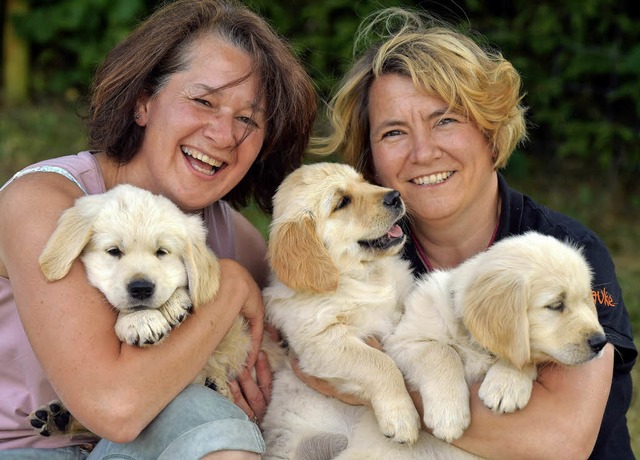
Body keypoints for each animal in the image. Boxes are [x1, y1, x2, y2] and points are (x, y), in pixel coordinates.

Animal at [30, 183, 251, 434]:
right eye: (114, 251)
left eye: (162, 252)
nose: (141, 288)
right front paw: (140, 320)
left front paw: (172, 303)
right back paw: (56, 418)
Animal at [260, 163, 420, 460]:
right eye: (342, 202)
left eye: (363, 181)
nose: (395, 196)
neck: (364, 276)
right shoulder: (322, 341)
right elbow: (380, 363)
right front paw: (401, 417)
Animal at [384, 232, 604, 444]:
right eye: (556, 305)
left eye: (585, 300)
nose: (600, 342)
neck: (471, 340)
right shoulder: (400, 342)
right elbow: (441, 350)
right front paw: (448, 414)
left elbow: (520, 355)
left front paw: (506, 384)